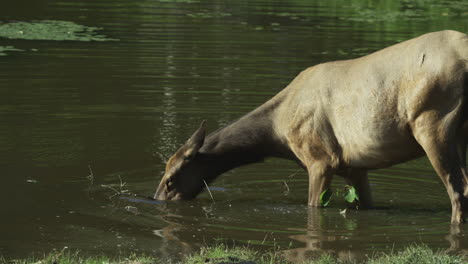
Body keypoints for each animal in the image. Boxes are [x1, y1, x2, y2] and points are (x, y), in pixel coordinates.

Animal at [154, 31, 468, 225]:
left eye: (170, 179)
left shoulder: (320, 159)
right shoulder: (355, 167)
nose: (156, 201)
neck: (276, 134)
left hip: (433, 122)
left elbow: (312, 208)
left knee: (458, 190)